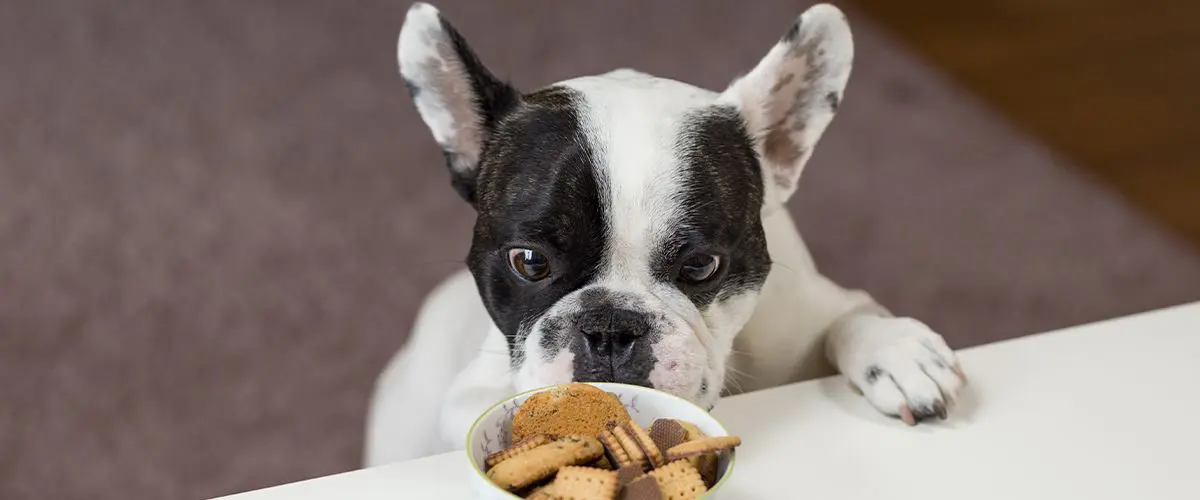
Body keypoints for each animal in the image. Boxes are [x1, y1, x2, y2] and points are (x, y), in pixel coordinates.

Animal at [362, 1, 964, 465]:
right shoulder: (472, 391)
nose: (609, 327)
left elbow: (852, 315)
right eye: (529, 262)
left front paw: (898, 351)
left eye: (701, 266)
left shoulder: (808, 311)